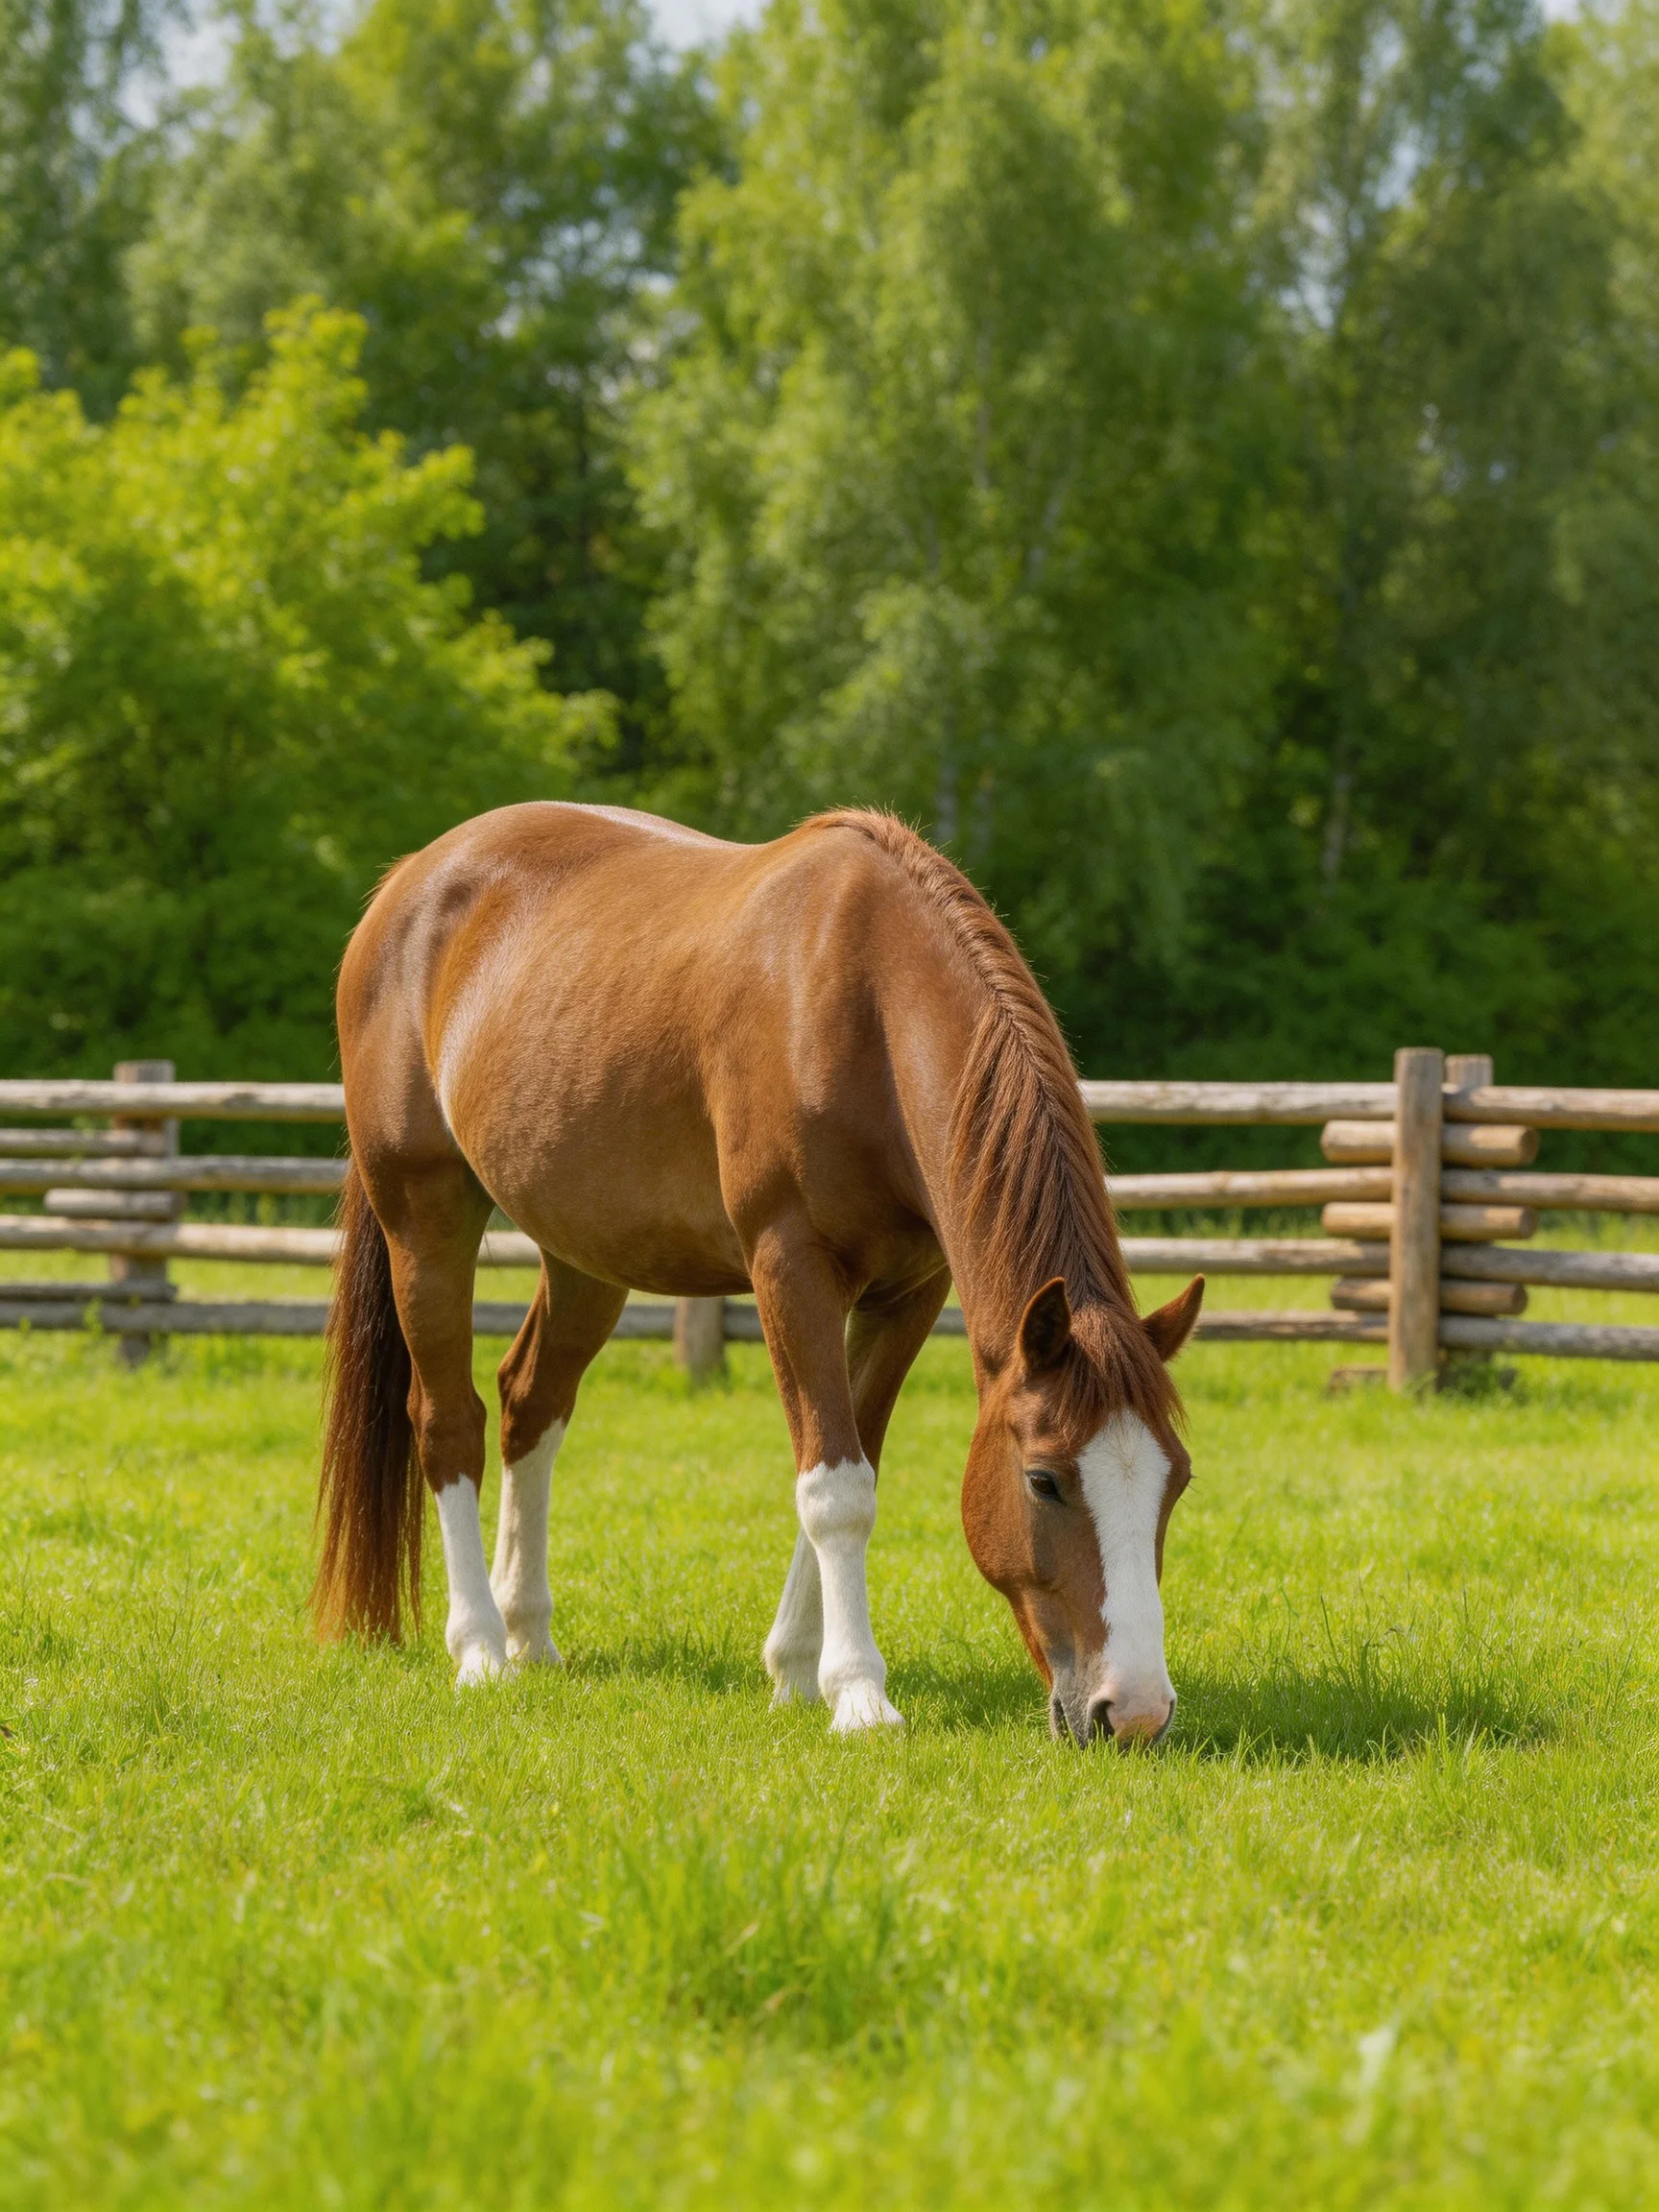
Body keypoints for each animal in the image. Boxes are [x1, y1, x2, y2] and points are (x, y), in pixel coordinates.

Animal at [313, 803, 1204, 1743]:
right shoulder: (790, 1267)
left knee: (530, 1403)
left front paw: (794, 1670)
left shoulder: (908, 1293)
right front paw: (857, 1693)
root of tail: (408, 882)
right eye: (1043, 1480)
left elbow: (853, 1458)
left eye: (1176, 1480)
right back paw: (480, 1648)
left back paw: (531, 1636)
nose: (1133, 1712)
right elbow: (836, 1486)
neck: (861, 1004)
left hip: (584, 1255)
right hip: (426, 1219)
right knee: (449, 1423)